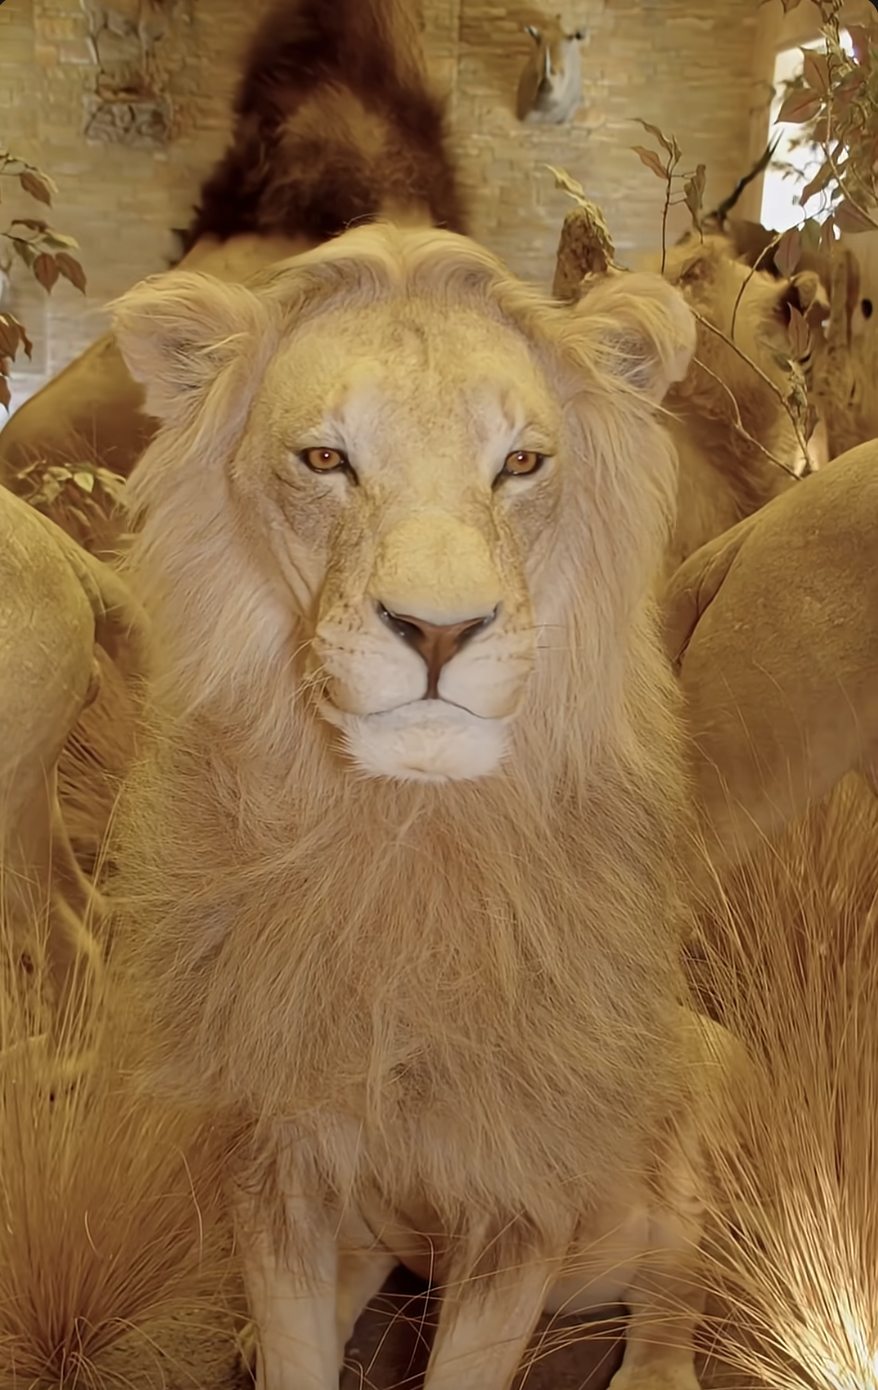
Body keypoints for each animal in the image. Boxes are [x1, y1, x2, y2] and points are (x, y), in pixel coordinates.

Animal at [107, 220, 737, 1390]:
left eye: (521, 463)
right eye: (325, 459)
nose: (440, 632)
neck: (401, 846)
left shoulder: (521, 1195)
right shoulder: (272, 1150)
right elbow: (296, 1345)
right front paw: (271, 1342)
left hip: (709, 1062)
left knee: (676, 1266)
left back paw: (659, 1367)